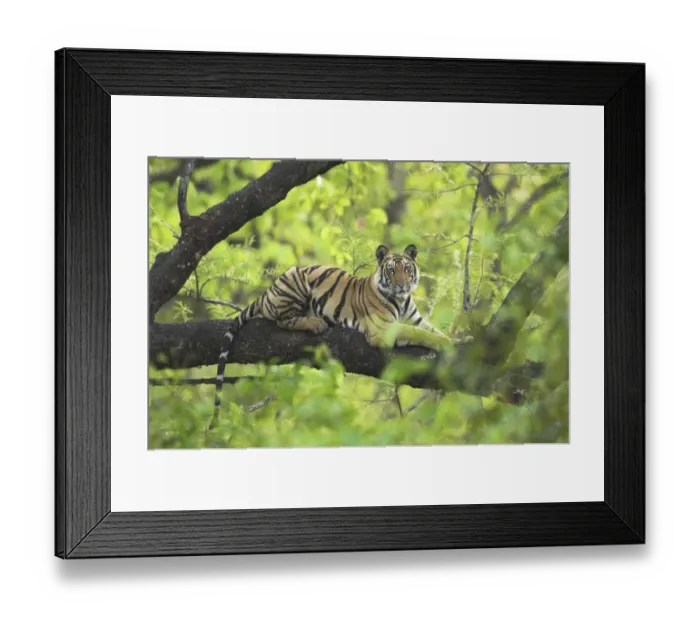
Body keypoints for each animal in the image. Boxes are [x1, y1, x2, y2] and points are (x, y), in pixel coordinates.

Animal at [210, 244, 454, 427]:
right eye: (392, 270)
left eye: (406, 269)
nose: (402, 285)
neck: (402, 300)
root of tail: (266, 292)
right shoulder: (384, 330)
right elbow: (418, 333)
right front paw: (444, 344)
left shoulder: (415, 319)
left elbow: (431, 330)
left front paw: (455, 340)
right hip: (295, 280)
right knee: (283, 319)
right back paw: (316, 323)